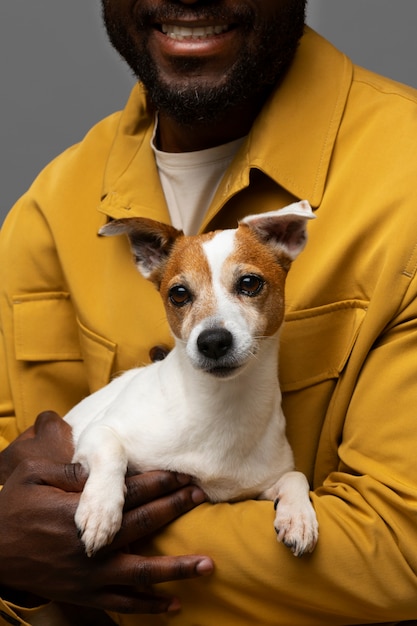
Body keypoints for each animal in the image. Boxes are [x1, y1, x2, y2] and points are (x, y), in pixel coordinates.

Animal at [65, 200, 316, 556]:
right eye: (179, 293)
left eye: (249, 283)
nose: (212, 341)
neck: (222, 404)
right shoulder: (93, 432)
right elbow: (110, 448)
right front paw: (100, 510)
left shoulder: (258, 486)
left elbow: (296, 477)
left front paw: (299, 517)